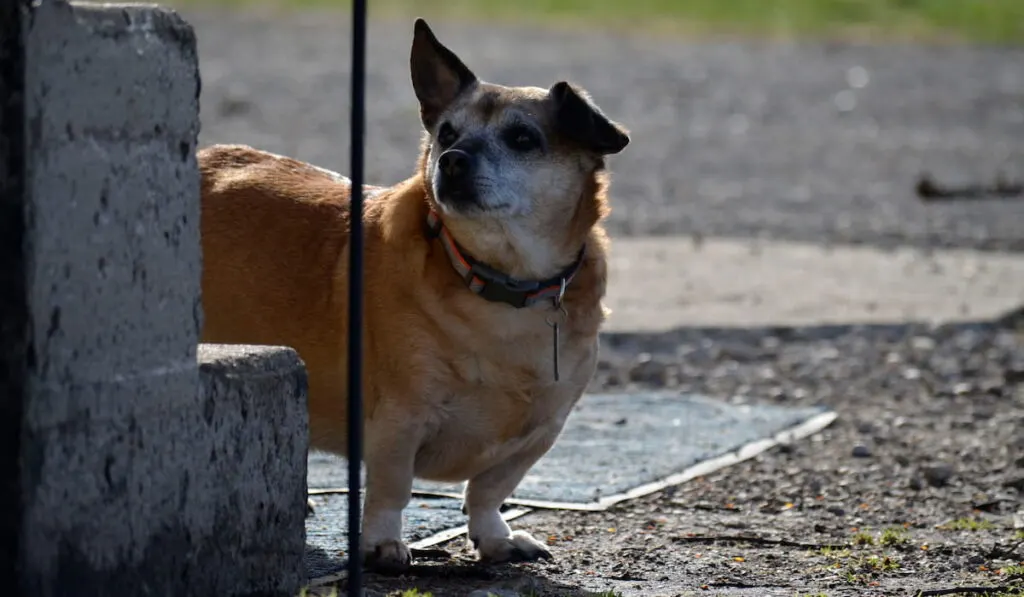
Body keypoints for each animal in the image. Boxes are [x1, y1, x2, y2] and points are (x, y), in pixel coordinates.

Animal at [195, 16, 626, 573]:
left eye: (522, 138)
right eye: (446, 134)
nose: (453, 160)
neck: (500, 283)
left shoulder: (539, 433)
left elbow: (488, 490)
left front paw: (494, 538)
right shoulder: (399, 420)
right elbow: (391, 490)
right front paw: (381, 544)